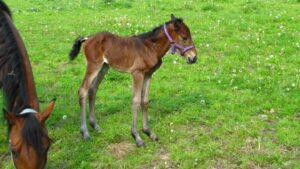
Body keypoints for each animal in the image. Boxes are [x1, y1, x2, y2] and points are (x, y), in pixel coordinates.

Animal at [69, 14, 197, 147]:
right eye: (184, 37)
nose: (193, 58)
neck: (150, 47)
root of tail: (88, 37)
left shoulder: (148, 74)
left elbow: (145, 101)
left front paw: (149, 132)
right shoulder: (137, 73)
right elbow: (136, 101)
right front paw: (137, 137)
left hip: (104, 67)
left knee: (93, 90)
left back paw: (95, 126)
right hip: (93, 66)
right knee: (83, 91)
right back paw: (85, 133)